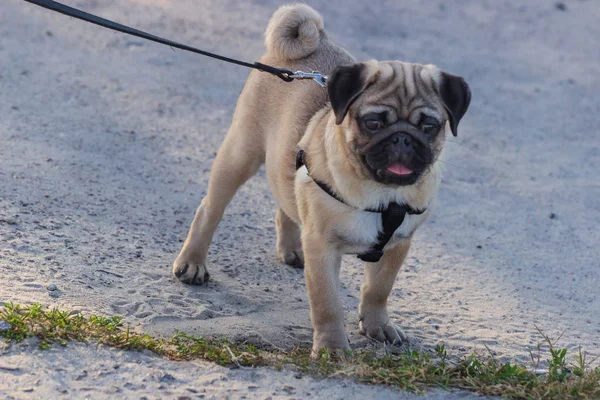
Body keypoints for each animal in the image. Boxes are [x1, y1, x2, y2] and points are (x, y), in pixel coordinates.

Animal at [171, 3, 472, 354]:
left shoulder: (398, 245)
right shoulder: (323, 248)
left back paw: (291, 248)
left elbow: (378, 290)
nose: (402, 139)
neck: (381, 193)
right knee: (210, 209)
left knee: (286, 200)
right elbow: (327, 303)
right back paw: (192, 262)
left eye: (429, 126)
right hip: (240, 153)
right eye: (373, 122)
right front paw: (332, 348)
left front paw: (377, 326)